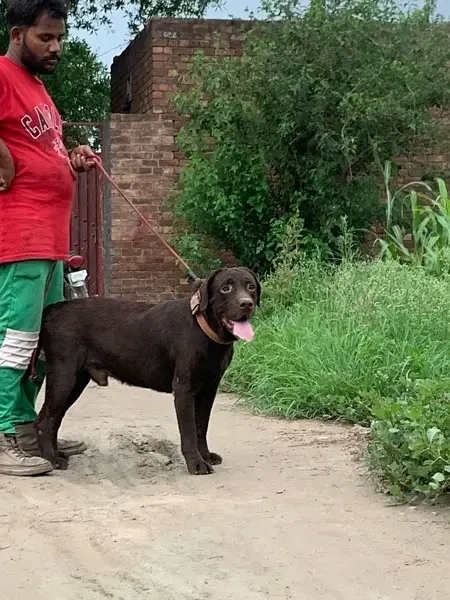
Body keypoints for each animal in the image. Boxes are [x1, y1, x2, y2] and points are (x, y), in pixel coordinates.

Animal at [34, 268, 260, 474]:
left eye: (250, 286)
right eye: (225, 288)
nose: (246, 303)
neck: (205, 331)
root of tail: (52, 309)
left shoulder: (209, 390)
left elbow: (200, 427)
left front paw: (205, 456)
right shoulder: (184, 390)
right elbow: (188, 430)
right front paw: (196, 463)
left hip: (76, 382)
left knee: (55, 419)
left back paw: (56, 454)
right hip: (63, 377)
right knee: (45, 420)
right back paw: (51, 460)